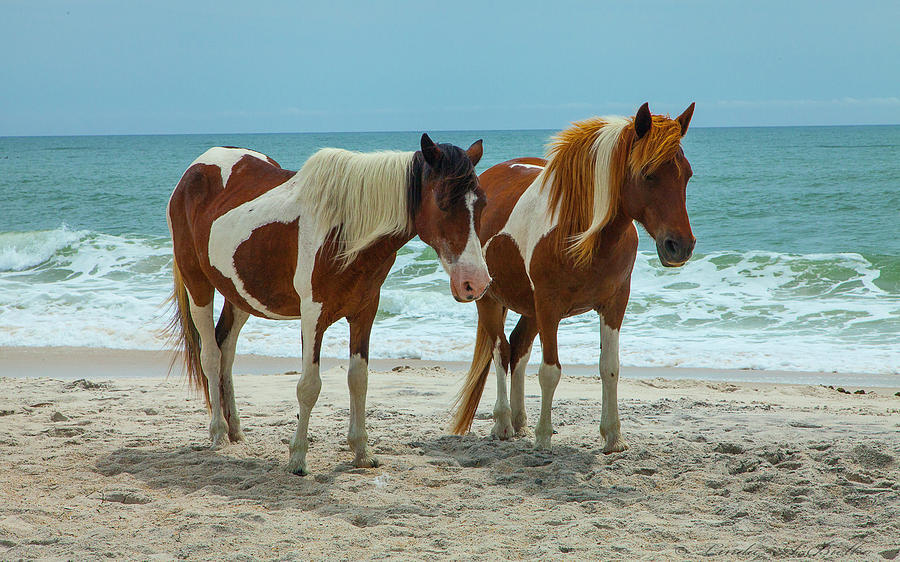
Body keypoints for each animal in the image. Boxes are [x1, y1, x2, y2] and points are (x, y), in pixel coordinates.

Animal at [168, 135, 492, 472]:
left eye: (482, 203)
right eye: (443, 202)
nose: (476, 282)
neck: (345, 232)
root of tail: (194, 170)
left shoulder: (365, 312)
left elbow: (358, 379)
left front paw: (361, 450)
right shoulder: (313, 316)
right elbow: (309, 386)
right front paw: (297, 457)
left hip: (240, 295)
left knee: (226, 349)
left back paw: (235, 430)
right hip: (198, 285)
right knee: (211, 356)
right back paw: (218, 432)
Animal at [450, 101, 696, 450]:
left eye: (686, 175)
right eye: (648, 174)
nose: (681, 246)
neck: (583, 233)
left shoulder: (614, 304)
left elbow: (609, 367)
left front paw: (613, 436)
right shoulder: (549, 306)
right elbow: (550, 371)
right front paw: (543, 438)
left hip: (530, 309)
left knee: (518, 348)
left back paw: (520, 421)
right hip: (491, 300)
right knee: (501, 352)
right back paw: (503, 423)